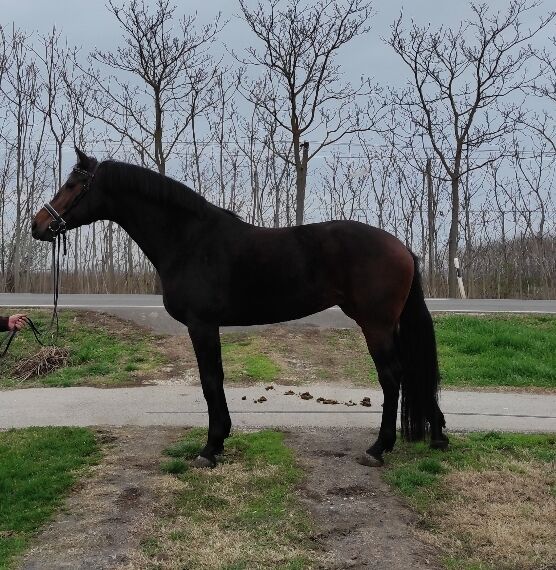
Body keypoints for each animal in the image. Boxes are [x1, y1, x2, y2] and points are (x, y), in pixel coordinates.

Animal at [30, 148, 450, 466]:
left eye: (72, 185)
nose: (38, 225)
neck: (189, 240)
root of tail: (402, 248)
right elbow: (214, 380)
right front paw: (218, 441)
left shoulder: (201, 325)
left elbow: (210, 381)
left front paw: (210, 447)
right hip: (388, 325)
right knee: (411, 373)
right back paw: (437, 436)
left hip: (375, 325)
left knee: (392, 376)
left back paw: (378, 448)